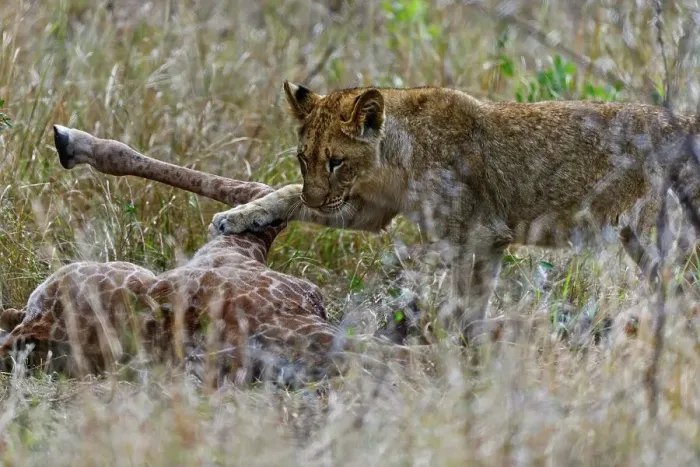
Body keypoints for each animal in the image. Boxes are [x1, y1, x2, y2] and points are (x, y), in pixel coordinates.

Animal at [212, 81, 700, 341]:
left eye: (336, 161)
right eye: (303, 158)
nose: (317, 198)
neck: (392, 161)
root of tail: (676, 119)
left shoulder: (473, 233)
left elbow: (462, 298)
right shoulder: (369, 211)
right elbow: (287, 193)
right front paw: (239, 215)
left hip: (653, 229)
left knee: (681, 282)